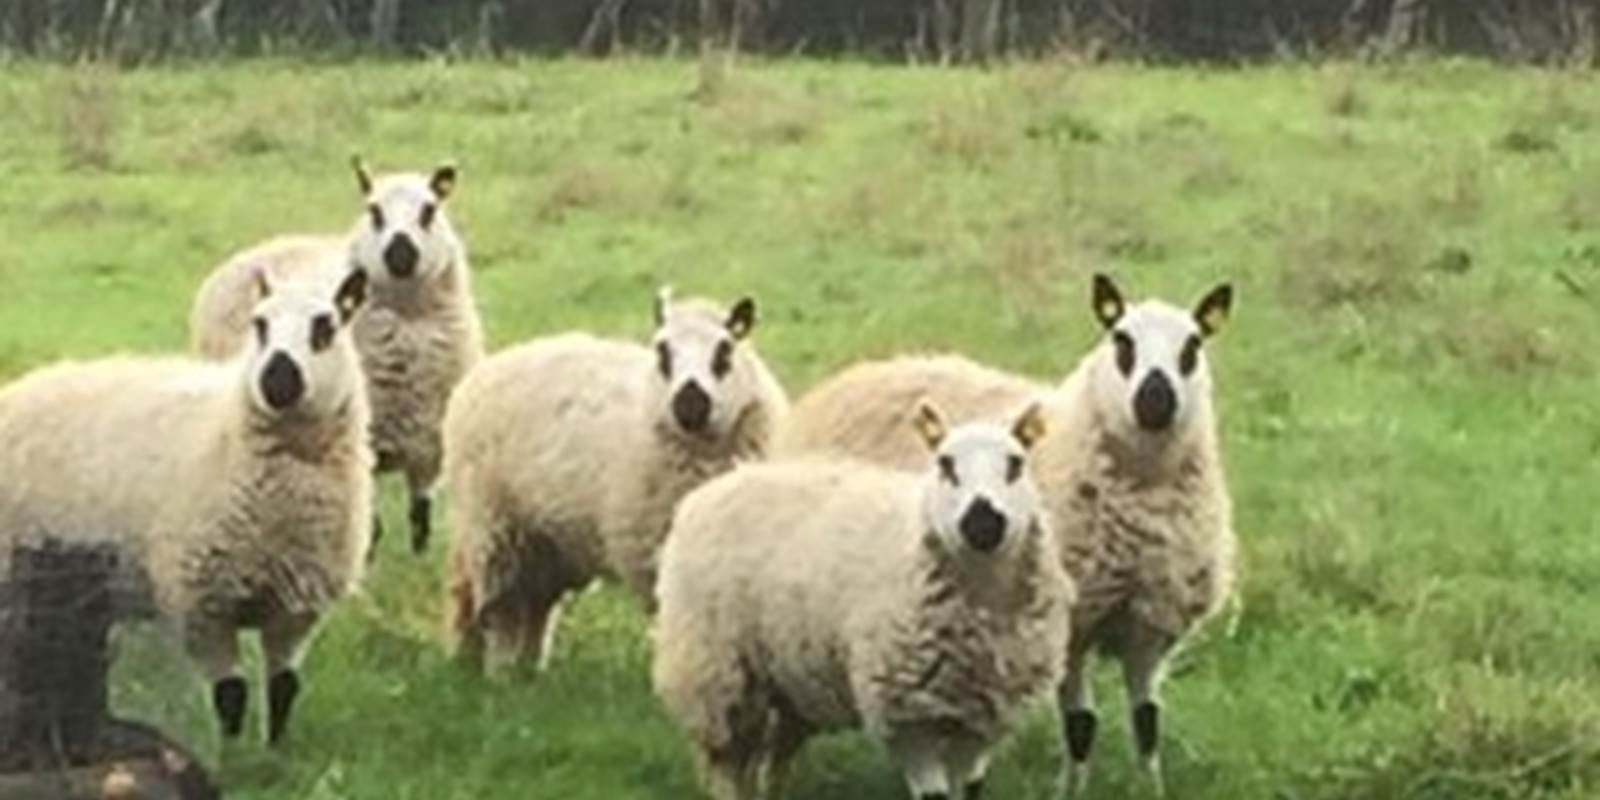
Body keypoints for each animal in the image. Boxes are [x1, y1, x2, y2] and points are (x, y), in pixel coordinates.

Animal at [0, 267, 375, 745]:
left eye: (325, 327)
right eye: (259, 325)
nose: (277, 381)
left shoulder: (295, 609)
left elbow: (284, 688)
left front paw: (275, 750)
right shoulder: (201, 606)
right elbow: (231, 694)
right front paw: (233, 753)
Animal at [189, 156, 483, 555]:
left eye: (429, 210)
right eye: (373, 211)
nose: (400, 254)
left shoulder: (429, 442)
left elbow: (420, 515)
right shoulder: (364, 444)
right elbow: (371, 526)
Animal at [443, 287, 788, 678]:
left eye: (725, 350)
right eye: (662, 351)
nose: (690, 406)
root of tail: (496, 362)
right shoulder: (655, 553)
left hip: (546, 541)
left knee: (536, 607)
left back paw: (527, 671)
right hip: (495, 527)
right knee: (503, 611)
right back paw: (500, 673)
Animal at [653, 400, 1073, 800]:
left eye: (1016, 464)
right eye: (945, 464)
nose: (982, 523)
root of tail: (725, 480)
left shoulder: (979, 722)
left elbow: (968, 790)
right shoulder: (907, 719)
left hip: (792, 677)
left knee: (776, 757)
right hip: (717, 672)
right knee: (729, 766)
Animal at [774, 273, 1237, 797]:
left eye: (1193, 345)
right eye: (1121, 340)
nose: (1155, 400)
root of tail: (849, 377)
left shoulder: (1150, 627)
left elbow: (1147, 721)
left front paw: (1150, 787)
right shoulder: (1069, 629)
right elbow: (1082, 725)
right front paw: (1070, 790)